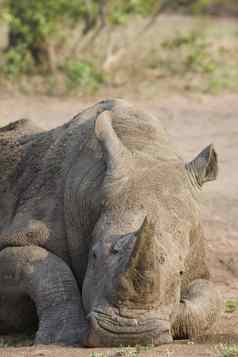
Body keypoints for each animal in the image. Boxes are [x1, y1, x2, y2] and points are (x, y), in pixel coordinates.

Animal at [0, 98, 221, 346]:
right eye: (94, 255)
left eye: (181, 272)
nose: (129, 334)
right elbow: (43, 266)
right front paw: (64, 336)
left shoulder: (197, 260)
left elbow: (210, 299)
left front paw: (174, 314)